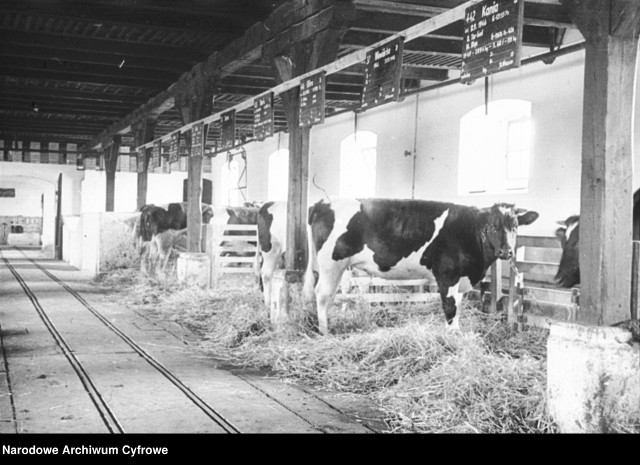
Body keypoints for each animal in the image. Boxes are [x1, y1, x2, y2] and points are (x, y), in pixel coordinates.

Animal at [302, 196, 536, 334]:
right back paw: (324, 332)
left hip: (336, 266)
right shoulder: (447, 275)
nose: (506, 251)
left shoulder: (461, 280)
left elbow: (458, 309)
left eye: (515, 226)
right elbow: (450, 308)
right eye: (492, 226)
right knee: (322, 294)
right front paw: (451, 340)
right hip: (331, 262)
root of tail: (323, 202)